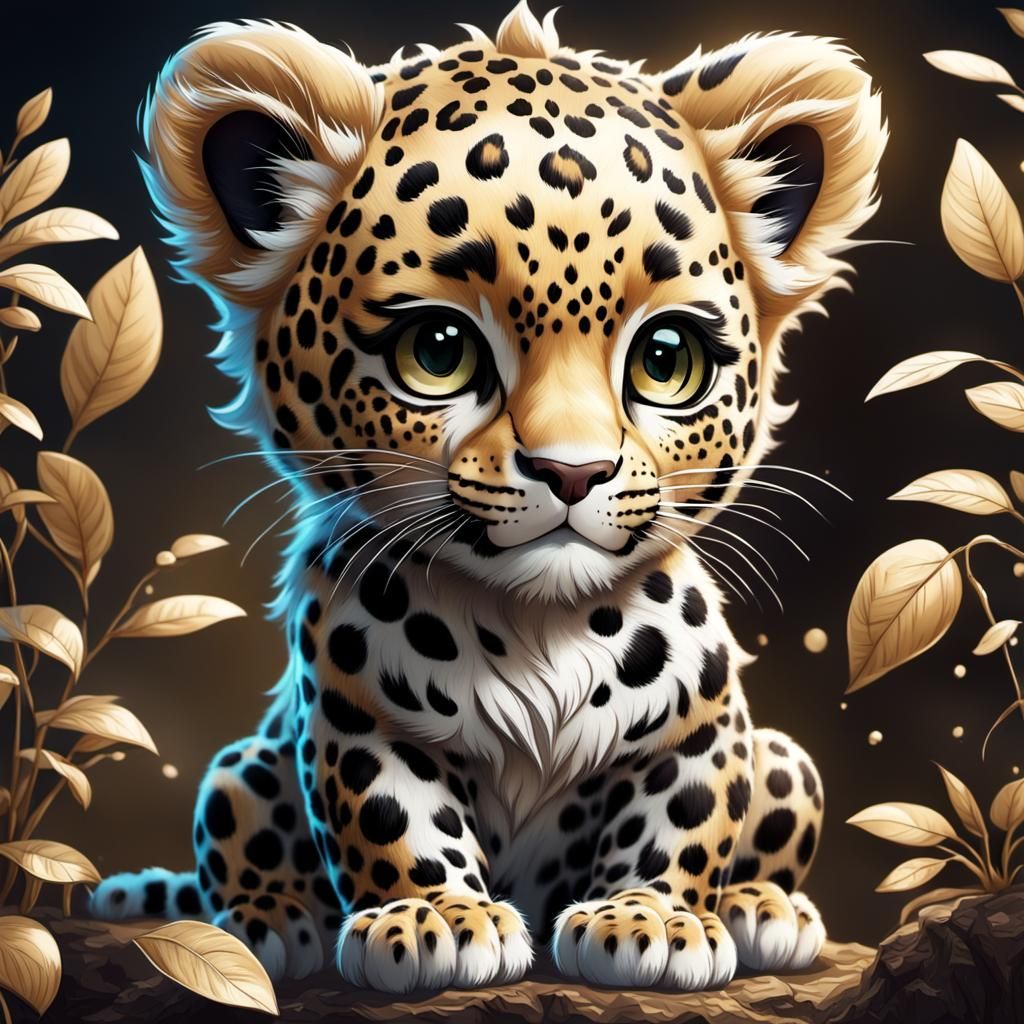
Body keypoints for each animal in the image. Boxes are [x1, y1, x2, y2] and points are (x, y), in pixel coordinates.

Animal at [91, 1, 886, 994]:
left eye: (666, 359)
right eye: (438, 349)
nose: (573, 472)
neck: (539, 625)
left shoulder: (700, 727)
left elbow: (684, 815)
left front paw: (651, 922)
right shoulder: (356, 717)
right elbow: (392, 817)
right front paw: (436, 921)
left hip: (784, 759)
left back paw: (764, 910)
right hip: (246, 765)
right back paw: (271, 920)